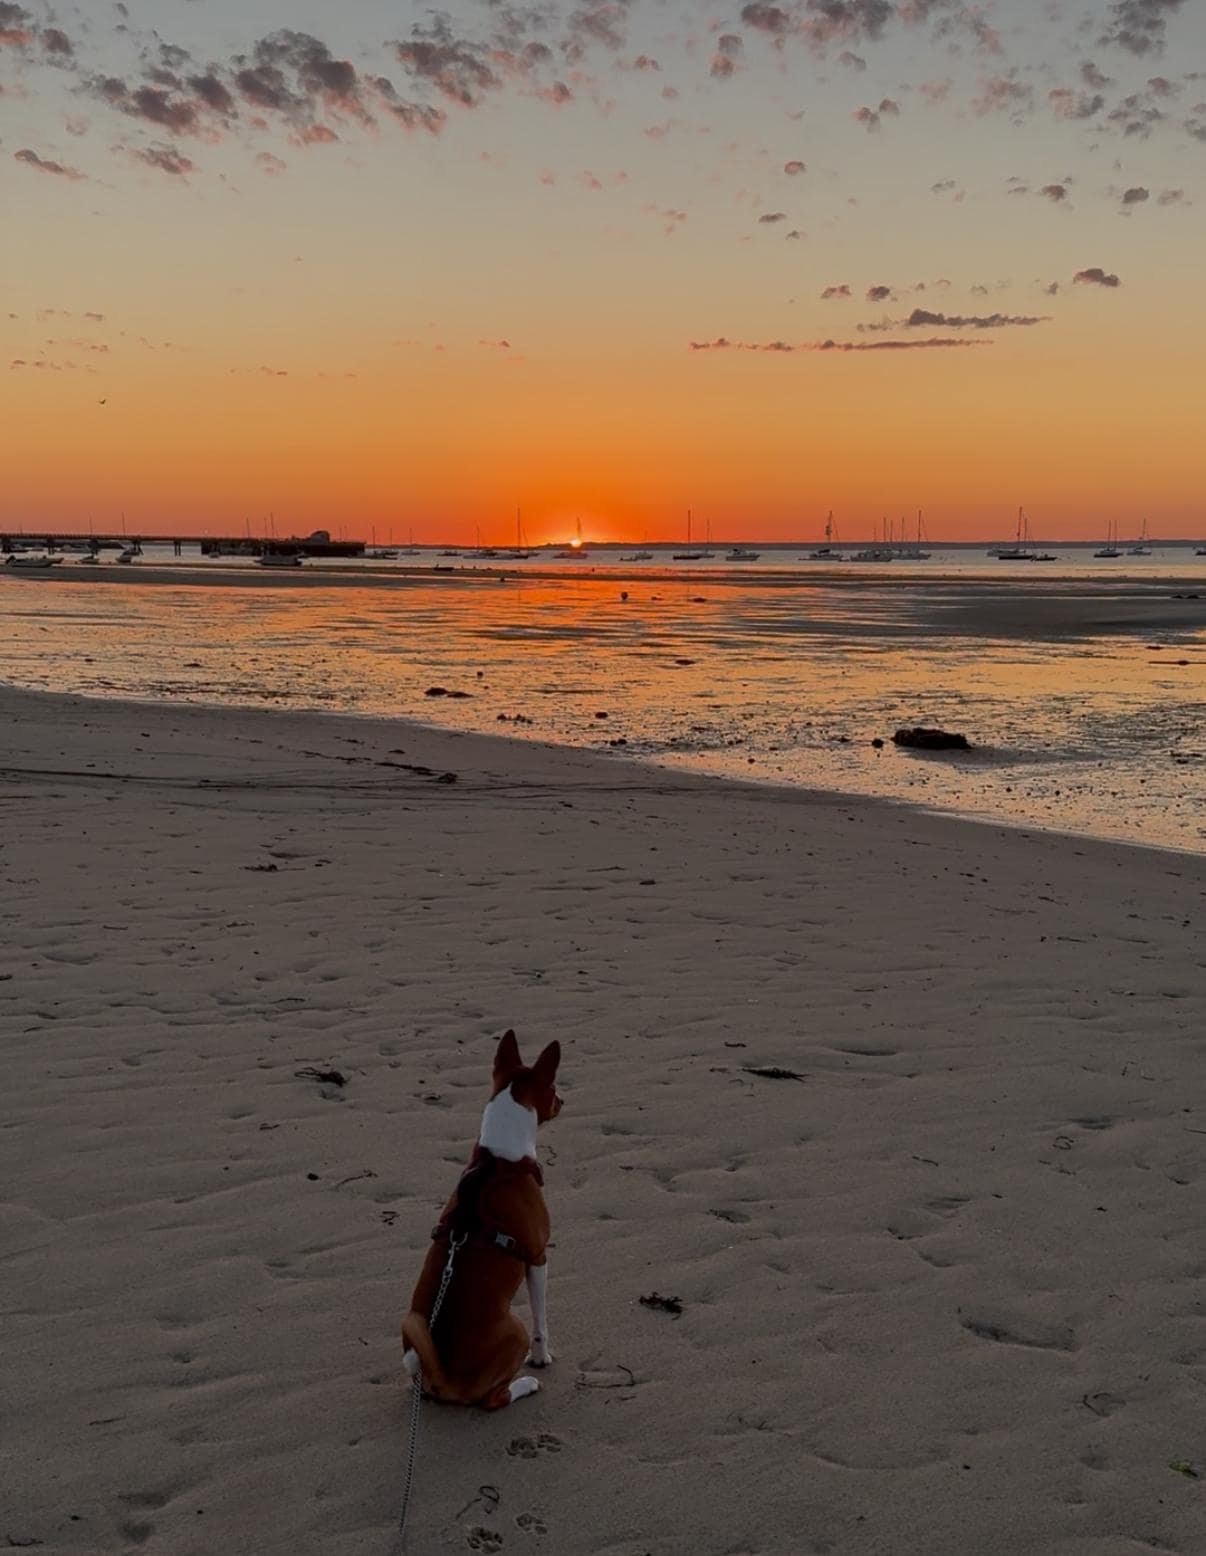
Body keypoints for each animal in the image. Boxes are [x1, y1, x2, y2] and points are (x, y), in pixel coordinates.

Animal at [401, 1030, 562, 1410]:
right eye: (553, 1088)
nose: (563, 1100)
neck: (498, 1160)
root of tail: (443, 1380)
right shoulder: (538, 1258)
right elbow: (542, 1322)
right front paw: (541, 1358)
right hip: (515, 1328)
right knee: (493, 1400)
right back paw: (526, 1383)